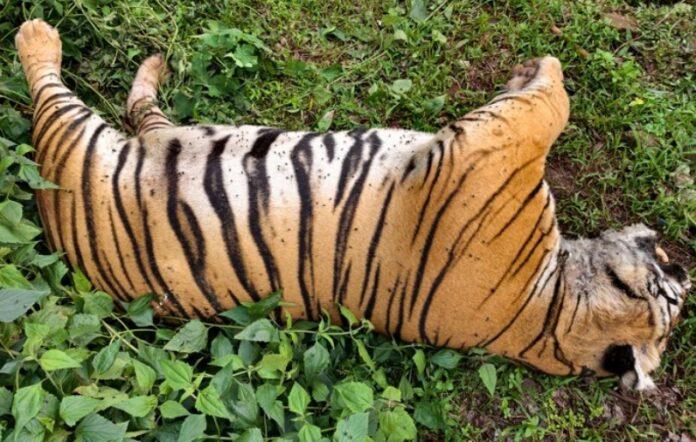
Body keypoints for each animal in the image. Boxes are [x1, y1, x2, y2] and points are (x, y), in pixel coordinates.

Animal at [15, 19, 690, 390]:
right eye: (667, 272)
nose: (678, 260)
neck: (548, 313)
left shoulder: (487, 151)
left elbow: (549, 104)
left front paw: (539, 67)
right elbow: (548, 101)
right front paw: (532, 66)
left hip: (73, 145)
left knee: (53, 85)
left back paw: (37, 31)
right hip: (148, 133)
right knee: (145, 107)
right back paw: (154, 61)